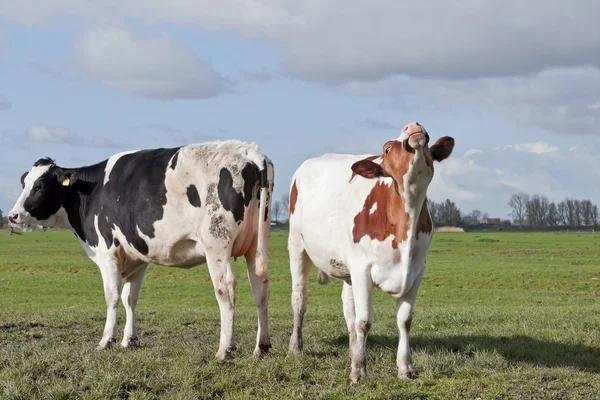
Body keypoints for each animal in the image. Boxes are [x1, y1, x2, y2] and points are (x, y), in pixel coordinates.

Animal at [8, 141, 276, 360]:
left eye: (40, 185)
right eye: (24, 183)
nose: (13, 215)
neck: (91, 192)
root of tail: (248, 150)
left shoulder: (108, 253)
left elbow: (112, 296)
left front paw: (106, 340)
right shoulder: (137, 257)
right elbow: (130, 298)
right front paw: (130, 340)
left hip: (216, 243)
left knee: (226, 288)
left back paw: (224, 350)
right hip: (256, 243)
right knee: (260, 286)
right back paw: (261, 347)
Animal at [288, 121, 452, 382]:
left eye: (428, 144)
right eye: (387, 149)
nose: (413, 126)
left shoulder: (416, 271)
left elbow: (404, 320)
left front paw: (405, 367)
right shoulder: (362, 268)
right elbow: (364, 321)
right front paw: (359, 370)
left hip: (347, 270)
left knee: (348, 309)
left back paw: (353, 349)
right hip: (297, 245)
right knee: (299, 299)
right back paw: (295, 347)